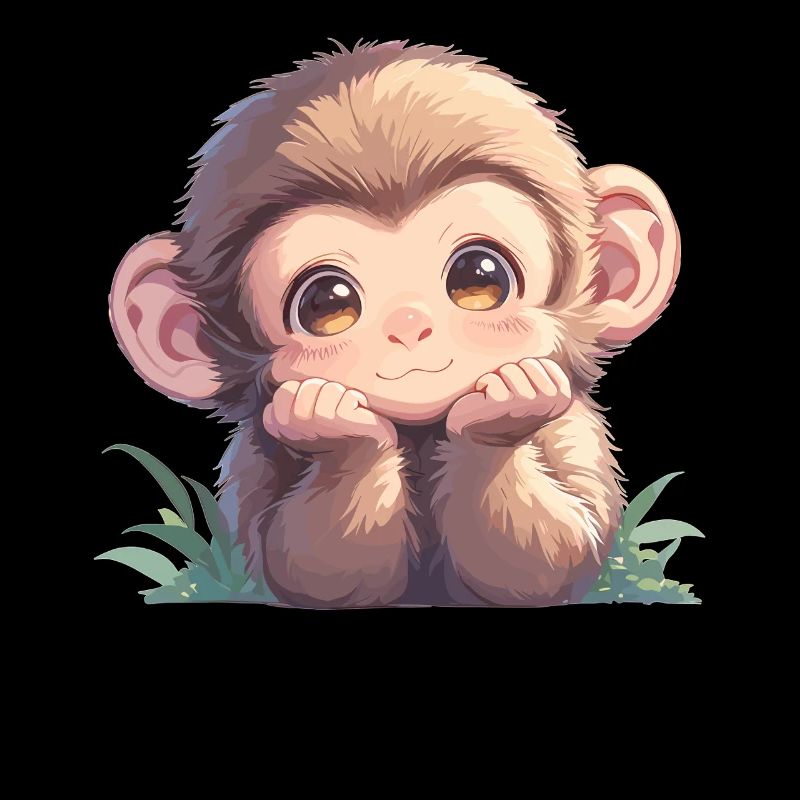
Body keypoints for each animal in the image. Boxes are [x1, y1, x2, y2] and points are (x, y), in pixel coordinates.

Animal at [108, 40, 680, 608]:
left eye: (480, 276)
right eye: (325, 304)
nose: (408, 323)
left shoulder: (575, 431)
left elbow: (552, 558)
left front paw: (506, 404)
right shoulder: (256, 462)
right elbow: (306, 569)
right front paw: (339, 428)